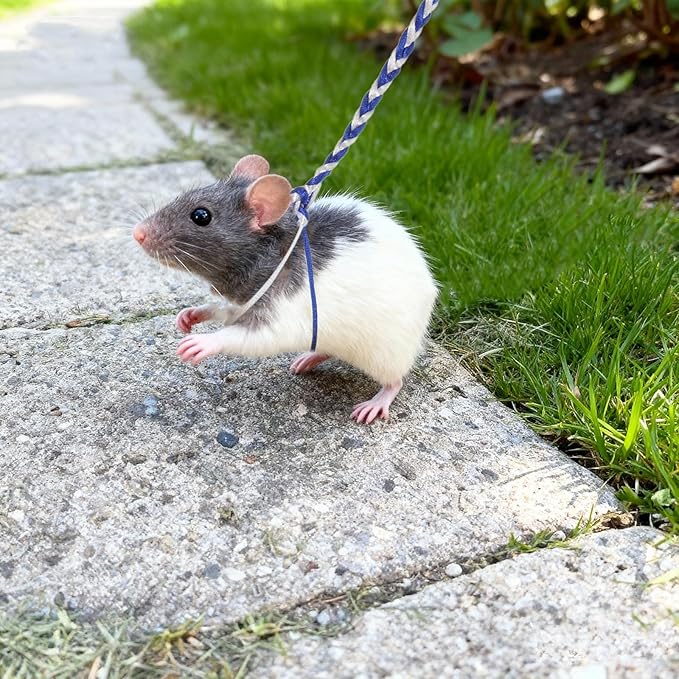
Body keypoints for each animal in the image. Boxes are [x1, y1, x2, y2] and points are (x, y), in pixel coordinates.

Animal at [133, 154, 437, 424]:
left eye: (201, 215)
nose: (138, 233)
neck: (275, 251)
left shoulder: (280, 311)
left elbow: (250, 337)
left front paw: (204, 342)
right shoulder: (239, 301)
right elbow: (220, 310)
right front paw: (191, 314)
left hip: (385, 355)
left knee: (395, 381)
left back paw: (379, 400)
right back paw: (310, 358)